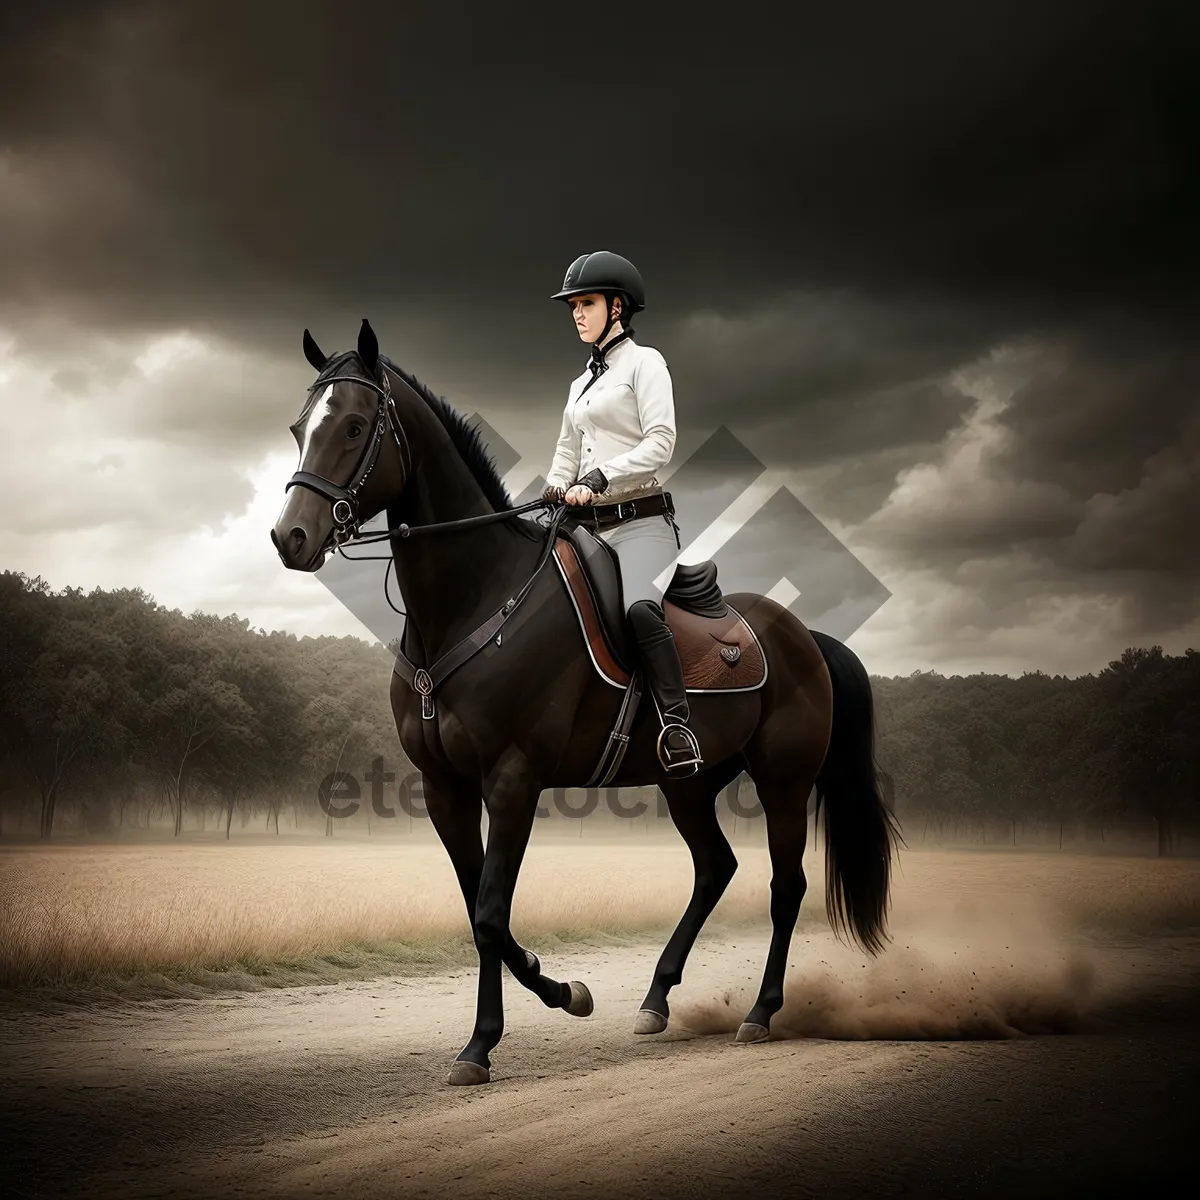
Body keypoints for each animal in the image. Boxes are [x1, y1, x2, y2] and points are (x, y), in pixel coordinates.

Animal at [272, 319, 902, 1089]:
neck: (476, 598)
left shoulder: (513, 779)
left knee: (786, 887)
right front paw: (561, 990)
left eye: (357, 425)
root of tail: (805, 636)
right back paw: (656, 1000)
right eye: (300, 426)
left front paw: (487, 1041)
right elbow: (479, 906)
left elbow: (490, 912)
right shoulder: (445, 786)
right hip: (687, 783)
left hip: (783, 781)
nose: (289, 537)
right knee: (715, 868)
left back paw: (759, 1014)